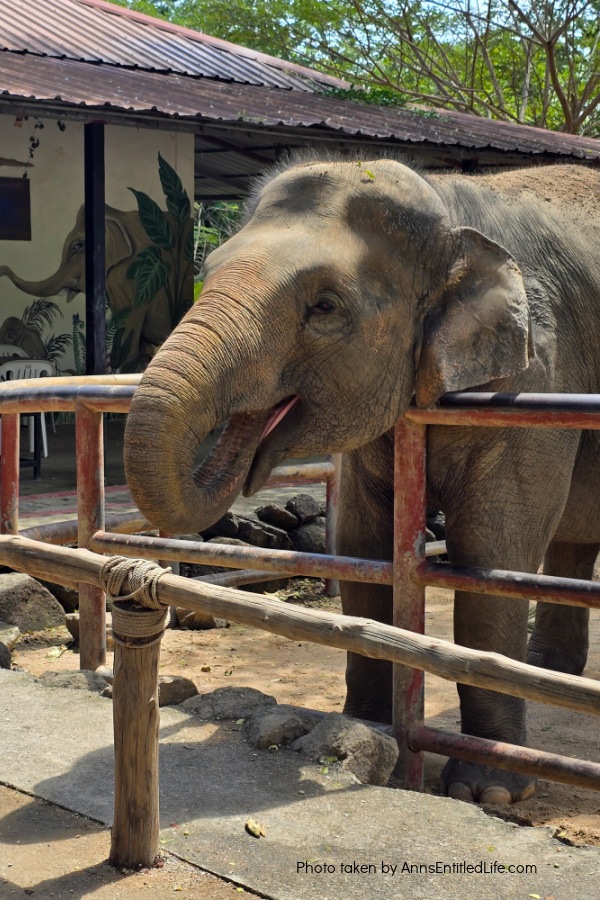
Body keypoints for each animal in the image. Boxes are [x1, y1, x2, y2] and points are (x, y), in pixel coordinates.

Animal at [124, 156, 600, 806]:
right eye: (210, 270)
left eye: (324, 306)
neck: (450, 208)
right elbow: (362, 549)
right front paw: (360, 739)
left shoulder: (534, 381)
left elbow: (492, 554)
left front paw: (486, 793)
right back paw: (547, 671)